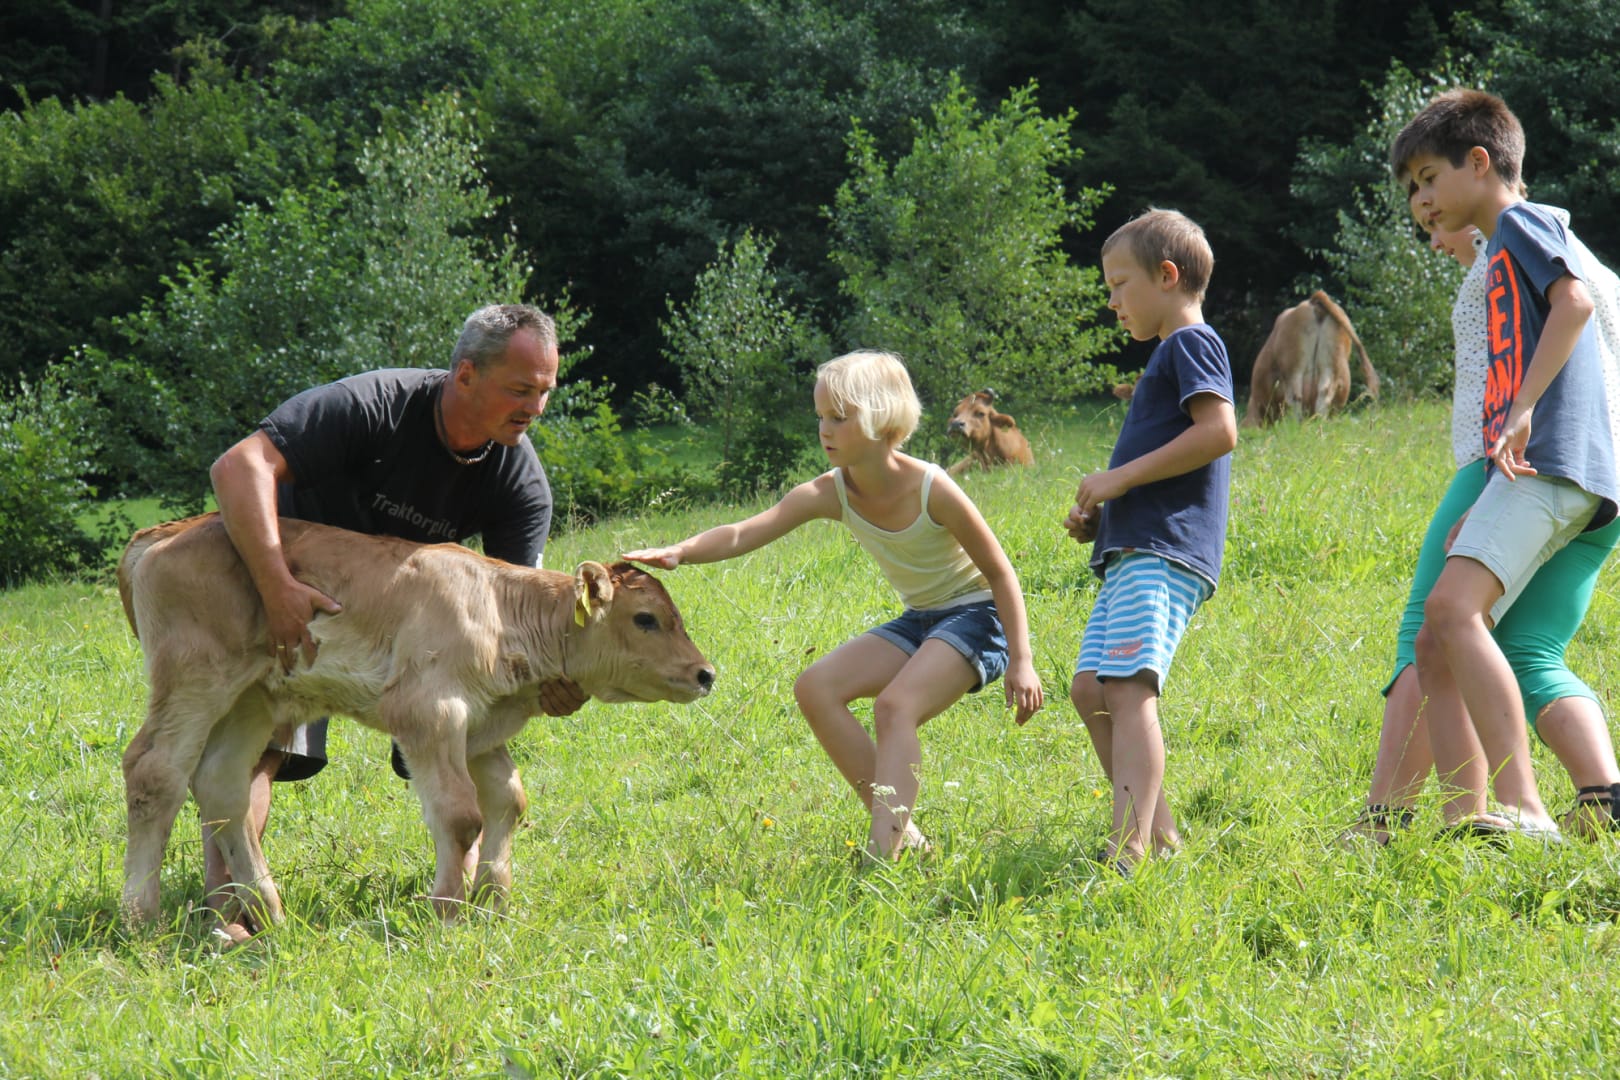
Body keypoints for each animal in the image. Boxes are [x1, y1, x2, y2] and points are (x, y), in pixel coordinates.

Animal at [118, 513, 715, 933]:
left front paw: (493, 902)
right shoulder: (430, 711)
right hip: (195, 678)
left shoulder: (481, 728)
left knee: (222, 786)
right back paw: (141, 916)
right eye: (646, 619)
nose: (705, 673)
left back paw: (268, 914)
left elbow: (509, 801)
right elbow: (460, 815)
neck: (499, 611)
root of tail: (169, 531)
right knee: (155, 771)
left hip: (253, 697)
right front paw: (448, 911)